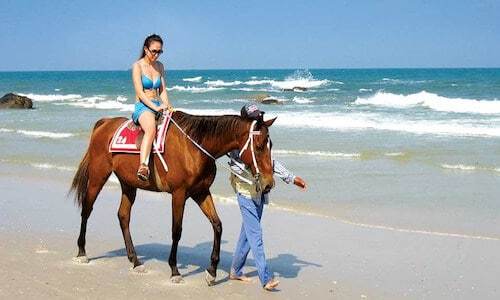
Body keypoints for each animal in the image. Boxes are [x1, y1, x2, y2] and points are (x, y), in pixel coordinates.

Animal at [69, 111, 276, 284]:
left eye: (270, 145)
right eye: (259, 147)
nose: (269, 183)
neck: (195, 147)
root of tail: (104, 123)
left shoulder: (201, 192)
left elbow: (217, 225)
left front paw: (212, 271)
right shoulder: (179, 194)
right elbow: (177, 230)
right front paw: (175, 270)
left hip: (128, 184)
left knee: (123, 216)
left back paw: (135, 261)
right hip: (98, 177)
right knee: (87, 209)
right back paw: (82, 252)